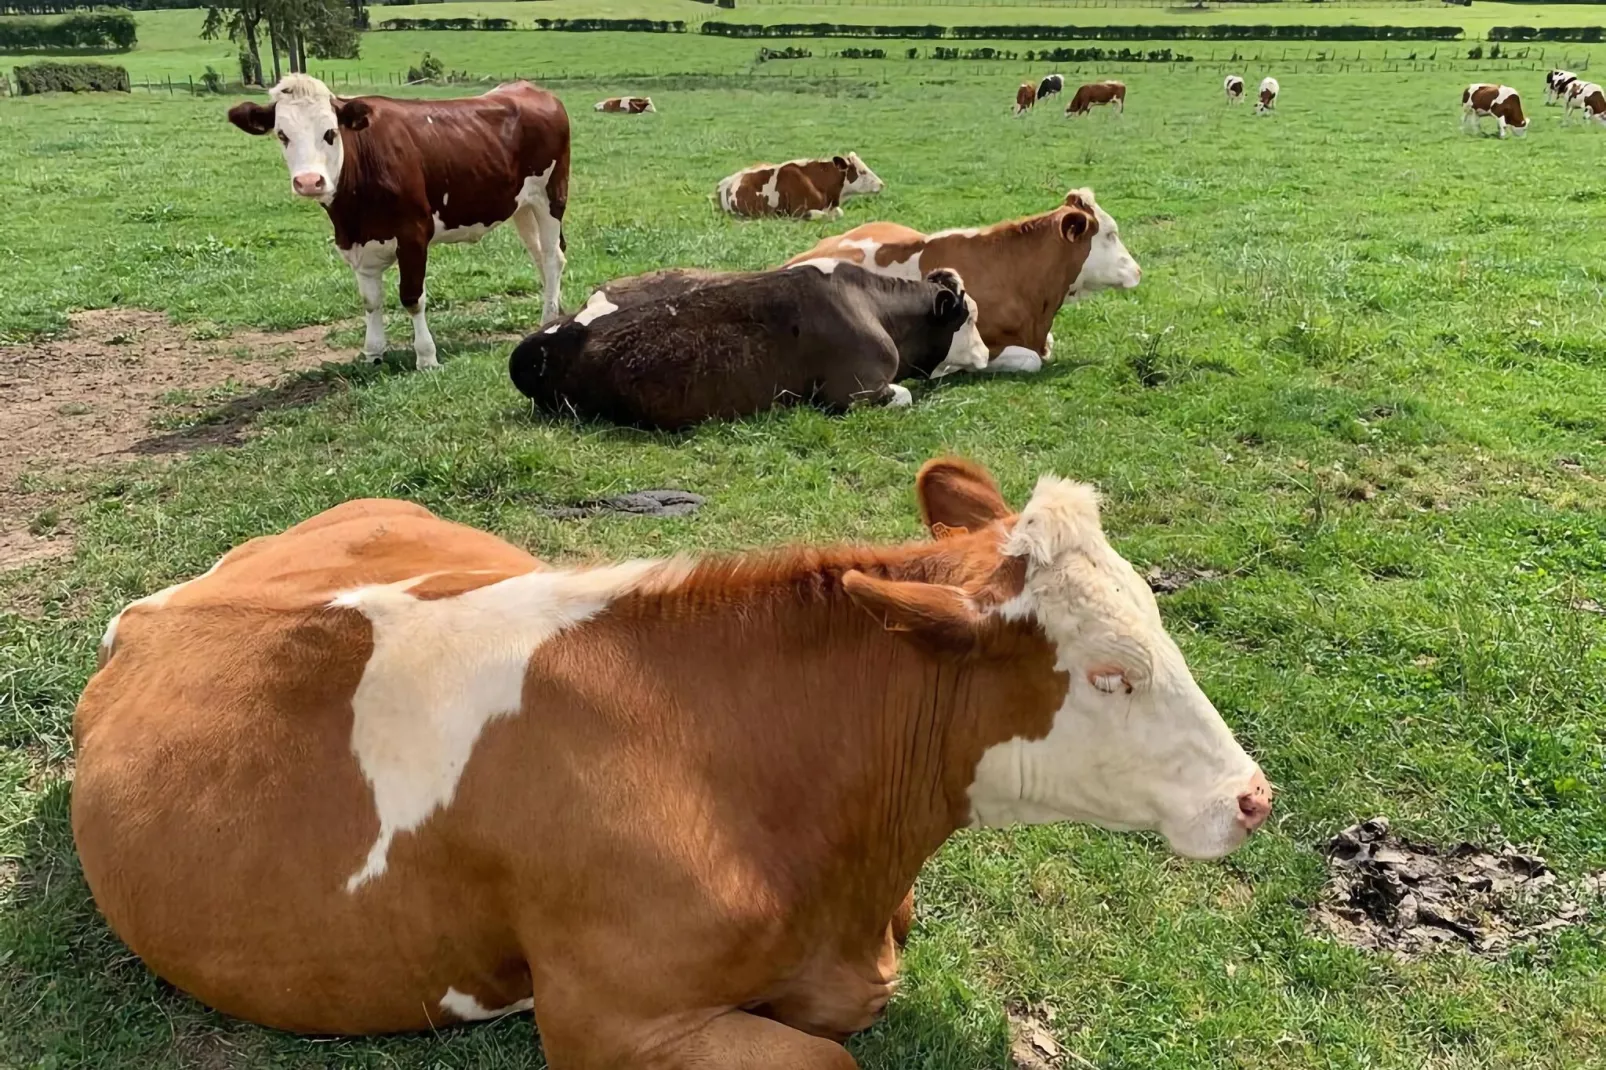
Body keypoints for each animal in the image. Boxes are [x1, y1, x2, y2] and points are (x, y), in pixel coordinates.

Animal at [229, 73, 571, 366]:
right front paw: (373, 352)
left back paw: (547, 318)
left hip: (552, 194)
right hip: (521, 205)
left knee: (553, 257)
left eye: (330, 133)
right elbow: (370, 300)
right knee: (541, 255)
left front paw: (426, 356)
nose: (309, 181)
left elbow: (412, 297)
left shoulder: (414, 235)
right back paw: (553, 315)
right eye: (282, 135)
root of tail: (530, 88)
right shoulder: (356, 243)